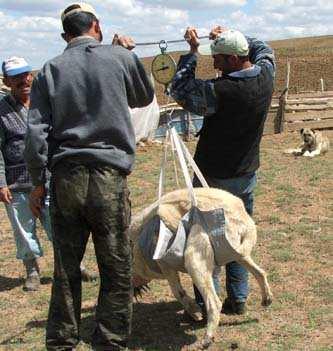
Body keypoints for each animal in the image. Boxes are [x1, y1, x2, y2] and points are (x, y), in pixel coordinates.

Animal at [128, 188, 272, 350]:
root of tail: (240, 216)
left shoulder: (165, 264)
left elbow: (178, 292)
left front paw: (194, 311)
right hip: (239, 255)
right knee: (260, 273)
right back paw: (267, 298)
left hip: (195, 258)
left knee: (214, 303)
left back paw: (207, 338)